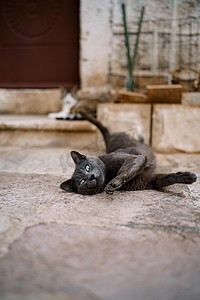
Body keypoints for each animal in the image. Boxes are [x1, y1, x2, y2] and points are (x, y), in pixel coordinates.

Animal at [60, 110, 197, 195]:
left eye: (87, 167)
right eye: (82, 182)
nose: (91, 176)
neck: (107, 175)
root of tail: (109, 139)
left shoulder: (135, 158)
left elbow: (125, 171)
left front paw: (113, 183)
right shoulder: (148, 180)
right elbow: (167, 178)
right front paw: (189, 177)